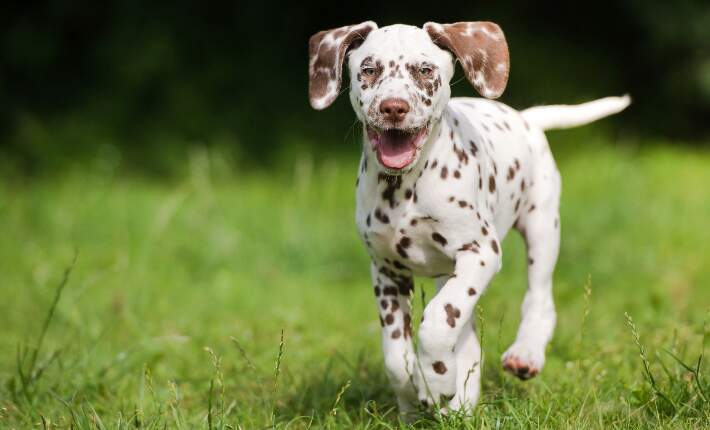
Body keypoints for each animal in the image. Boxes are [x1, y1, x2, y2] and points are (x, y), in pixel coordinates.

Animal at [308, 21, 632, 416]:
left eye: (425, 70)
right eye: (368, 69)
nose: (393, 107)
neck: (406, 189)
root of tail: (525, 118)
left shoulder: (480, 253)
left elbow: (435, 323)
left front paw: (433, 382)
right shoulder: (386, 272)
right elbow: (397, 356)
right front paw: (417, 392)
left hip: (541, 229)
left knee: (538, 299)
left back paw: (524, 354)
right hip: (449, 273)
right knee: (466, 338)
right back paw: (459, 401)